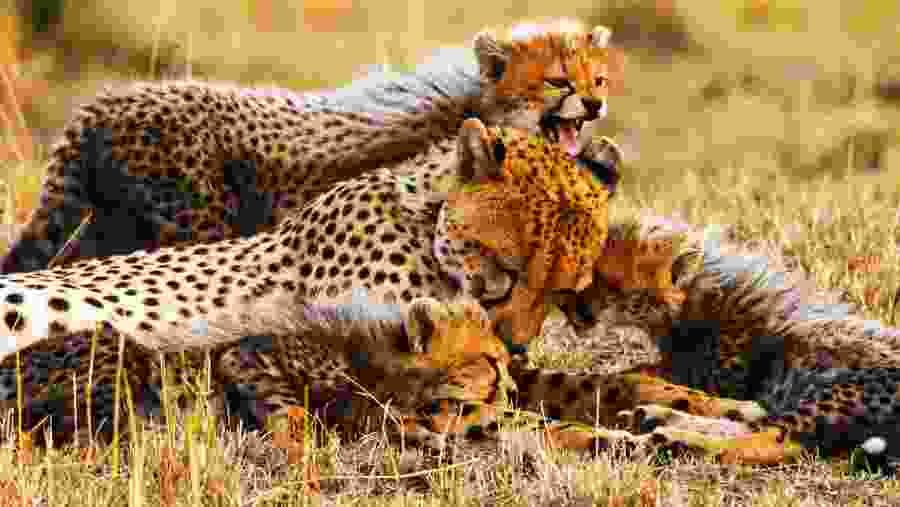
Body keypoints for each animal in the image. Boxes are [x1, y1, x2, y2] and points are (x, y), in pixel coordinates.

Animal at [2, 18, 618, 274]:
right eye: (558, 82)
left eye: (598, 79)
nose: (593, 105)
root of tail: (100, 104)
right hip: (191, 224)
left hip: (104, 227)